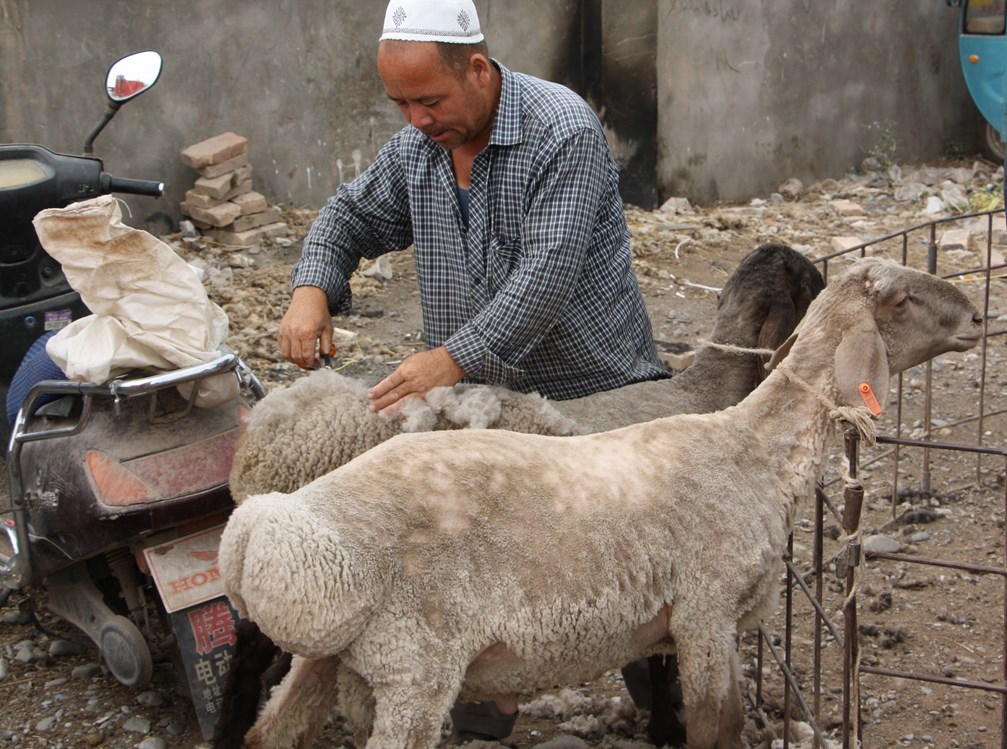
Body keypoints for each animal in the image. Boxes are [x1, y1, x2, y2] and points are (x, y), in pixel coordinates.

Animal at [218, 259, 982, 749]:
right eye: (899, 299)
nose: (978, 315)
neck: (751, 450)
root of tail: (265, 523)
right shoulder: (704, 613)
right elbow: (716, 731)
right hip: (414, 665)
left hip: (329, 657)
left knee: (268, 733)